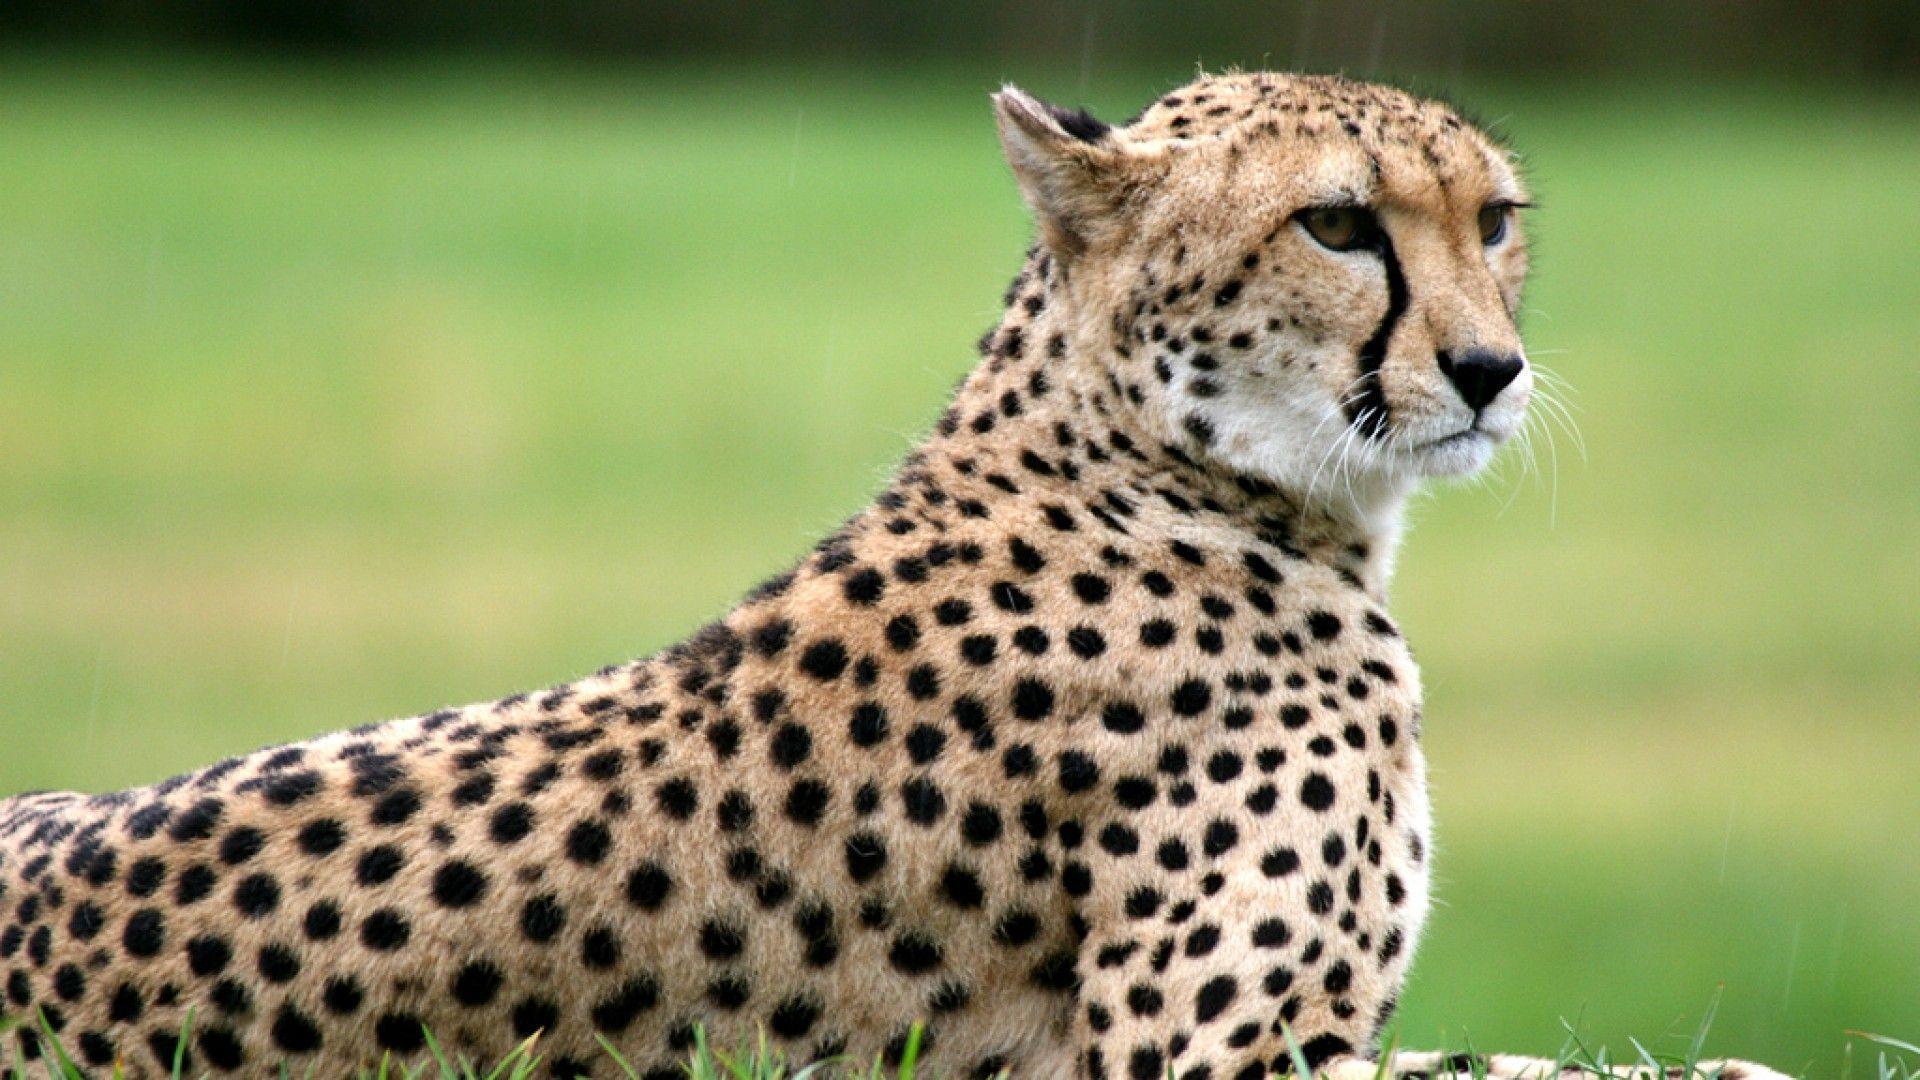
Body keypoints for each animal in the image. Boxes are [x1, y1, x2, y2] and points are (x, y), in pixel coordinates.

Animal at [0, 72, 1786, 1080]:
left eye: (1496, 221)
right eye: (1339, 225)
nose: (1491, 370)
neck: (1185, 478)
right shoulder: (1210, 1057)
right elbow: (1597, 1073)